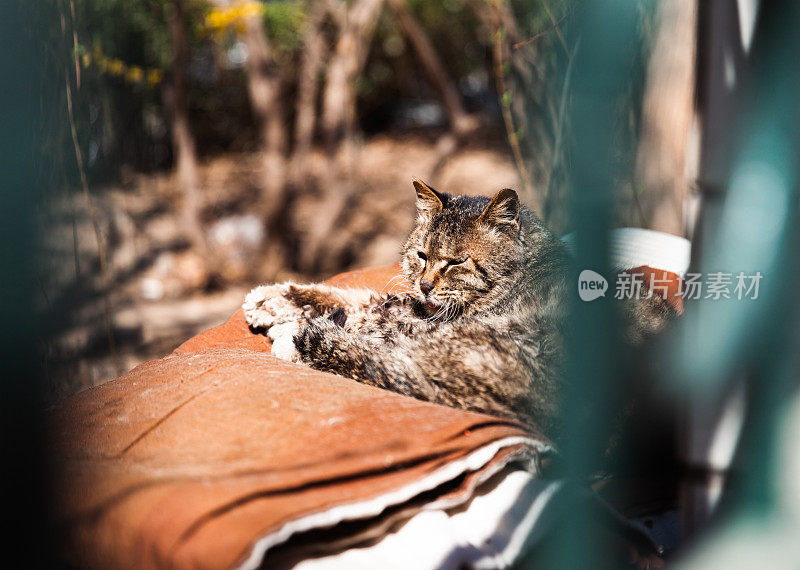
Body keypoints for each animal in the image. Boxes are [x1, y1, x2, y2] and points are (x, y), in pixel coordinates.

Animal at [241, 180, 672, 432]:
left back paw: (292, 340)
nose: (425, 284)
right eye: (421, 255)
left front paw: (288, 319)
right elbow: (357, 297)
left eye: (456, 261)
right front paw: (274, 298)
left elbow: (367, 311)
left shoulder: (426, 321)